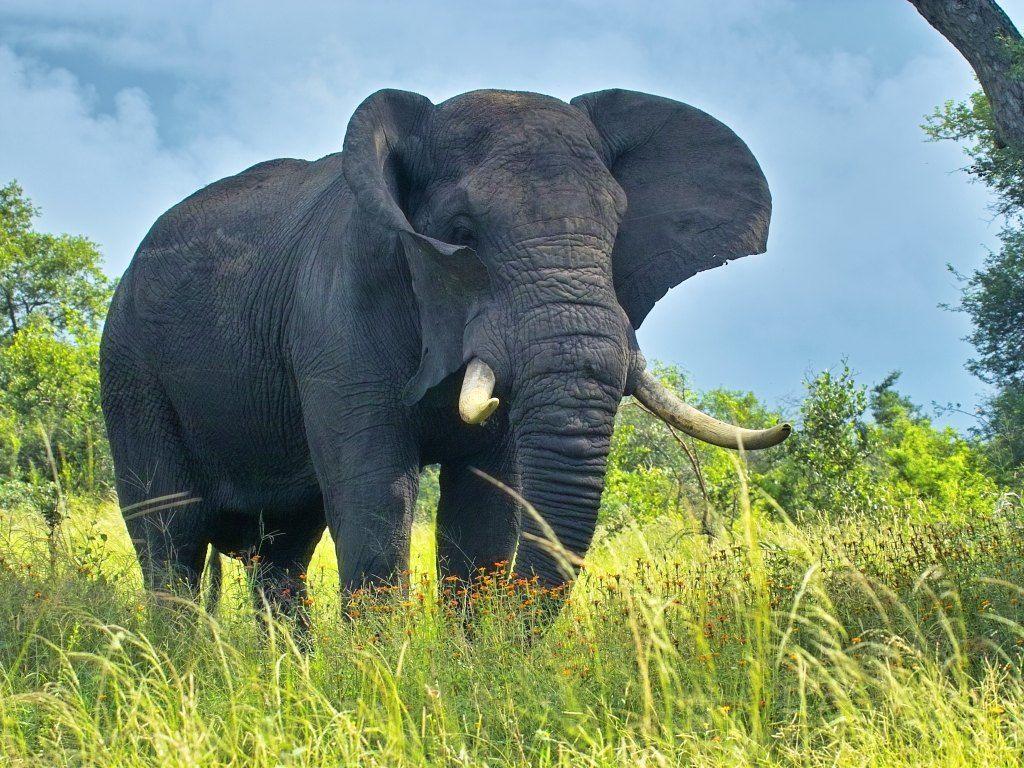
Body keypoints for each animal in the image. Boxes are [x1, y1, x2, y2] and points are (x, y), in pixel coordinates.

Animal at [99, 88, 790, 619]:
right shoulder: (338, 312)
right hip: (130, 370)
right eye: (460, 234)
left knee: (283, 550)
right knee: (171, 536)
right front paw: (382, 679)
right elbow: (376, 494)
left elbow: (482, 506)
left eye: (617, 233)